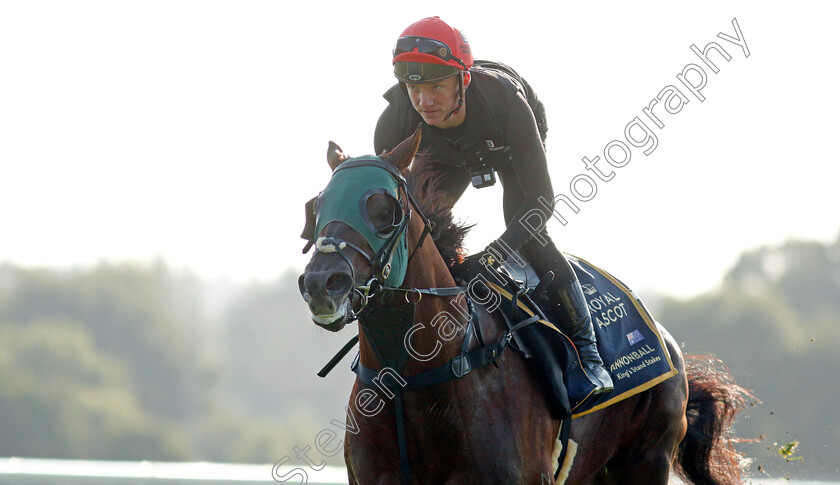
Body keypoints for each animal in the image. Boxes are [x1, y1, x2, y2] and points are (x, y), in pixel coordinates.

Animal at [298, 126, 752, 482]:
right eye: (315, 207)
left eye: (384, 209)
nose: (322, 283)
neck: (421, 379)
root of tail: (670, 344)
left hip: (646, 459)